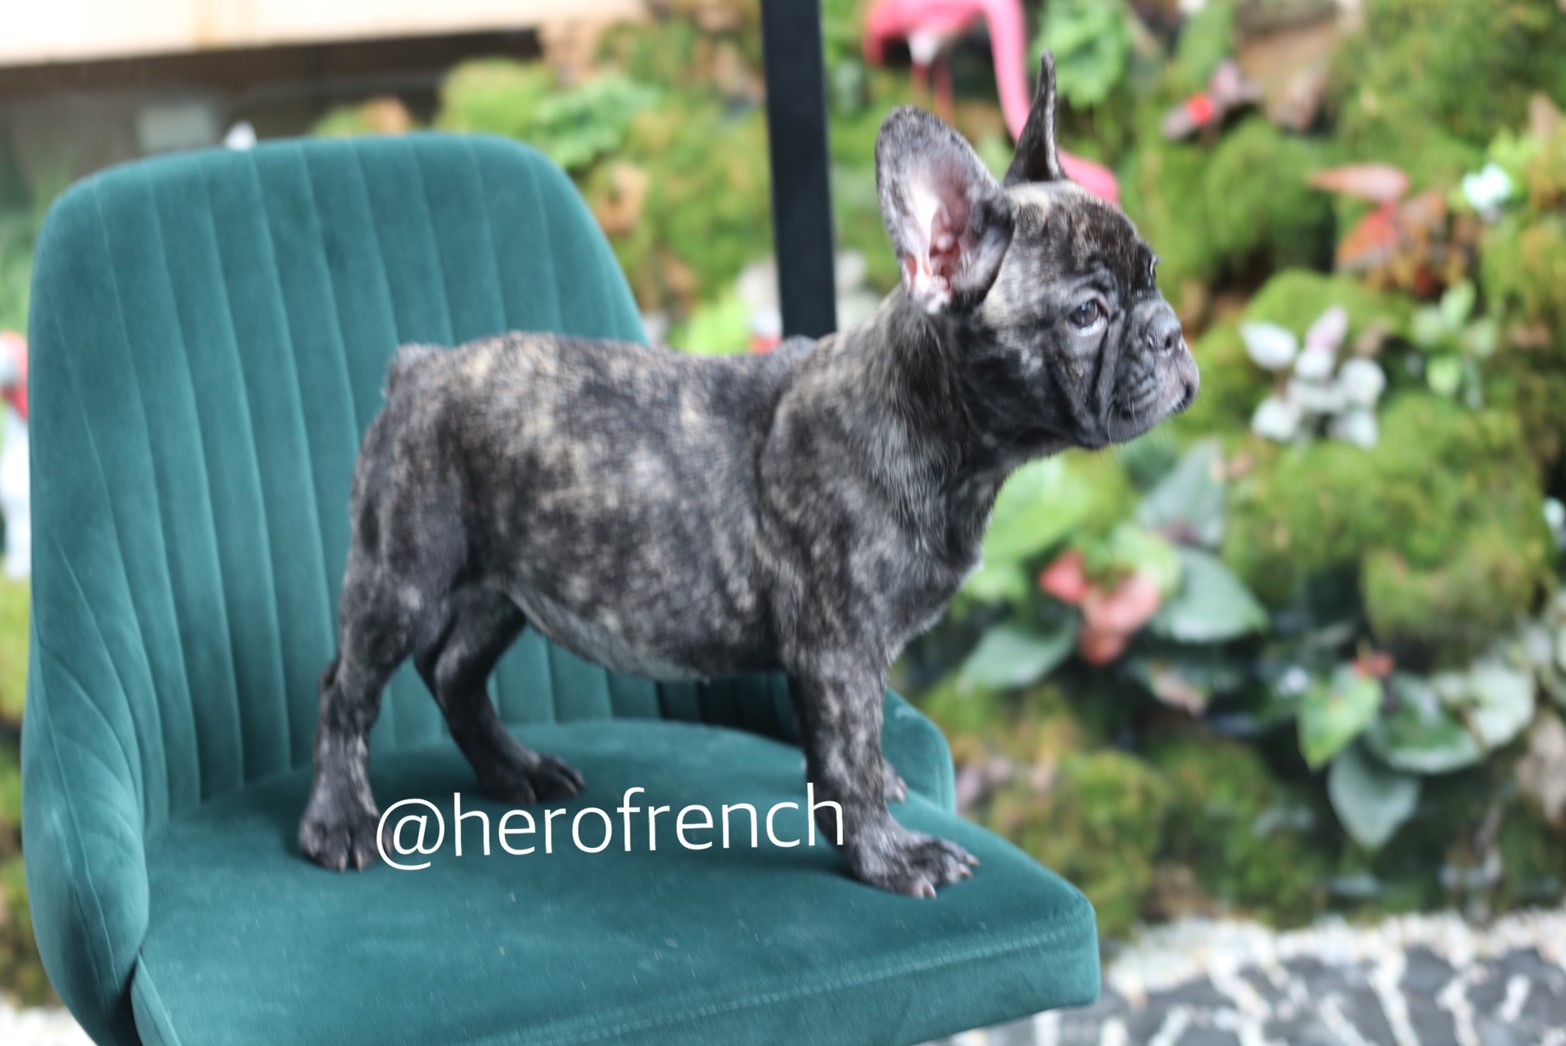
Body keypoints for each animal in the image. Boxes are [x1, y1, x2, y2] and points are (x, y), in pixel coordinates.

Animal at [299, 53, 1198, 898]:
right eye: (1086, 314)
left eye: (1153, 276)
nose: (1172, 332)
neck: (937, 429)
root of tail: (419, 367)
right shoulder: (837, 649)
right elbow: (845, 751)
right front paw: (888, 855)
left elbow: (858, 745)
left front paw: (879, 798)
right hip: (403, 577)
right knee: (346, 690)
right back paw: (338, 818)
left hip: (506, 583)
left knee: (453, 672)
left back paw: (511, 769)